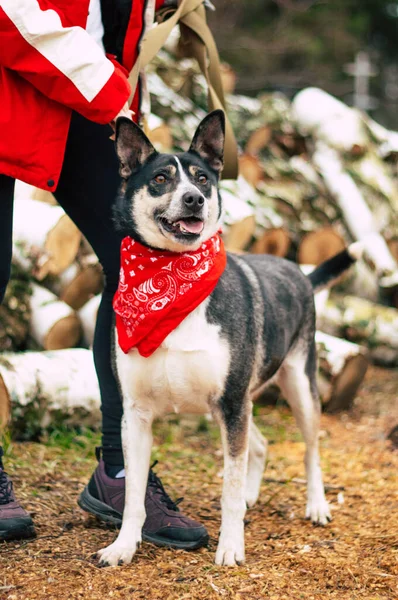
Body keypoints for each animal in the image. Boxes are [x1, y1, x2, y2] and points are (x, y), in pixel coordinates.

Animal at [98, 111, 360, 568]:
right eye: (161, 178)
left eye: (202, 178)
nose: (193, 200)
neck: (173, 275)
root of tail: (298, 273)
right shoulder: (139, 414)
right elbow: (133, 495)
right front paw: (124, 546)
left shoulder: (233, 402)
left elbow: (229, 491)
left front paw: (231, 546)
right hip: (231, 403)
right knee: (261, 443)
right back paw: (257, 493)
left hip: (297, 386)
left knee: (310, 450)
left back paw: (316, 505)